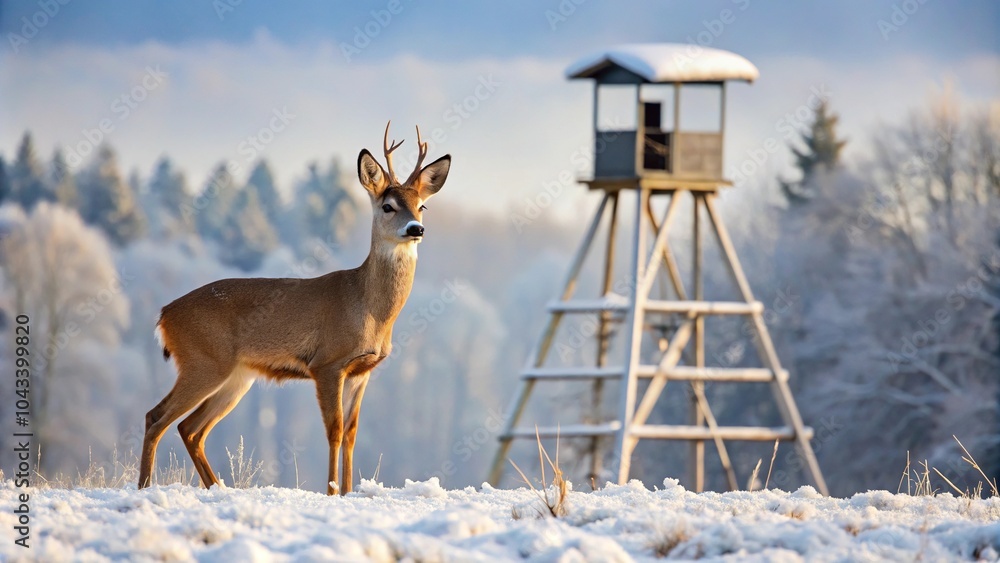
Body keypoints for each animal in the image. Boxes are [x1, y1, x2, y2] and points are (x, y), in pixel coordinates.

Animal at [138, 122, 451, 495]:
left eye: (422, 206)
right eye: (388, 206)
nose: (415, 229)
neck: (368, 308)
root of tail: (164, 315)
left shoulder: (362, 370)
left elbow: (352, 432)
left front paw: (348, 491)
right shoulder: (327, 362)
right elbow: (334, 429)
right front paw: (331, 490)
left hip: (236, 375)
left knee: (190, 429)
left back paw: (216, 487)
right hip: (203, 361)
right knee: (157, 417)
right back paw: (143, 487)